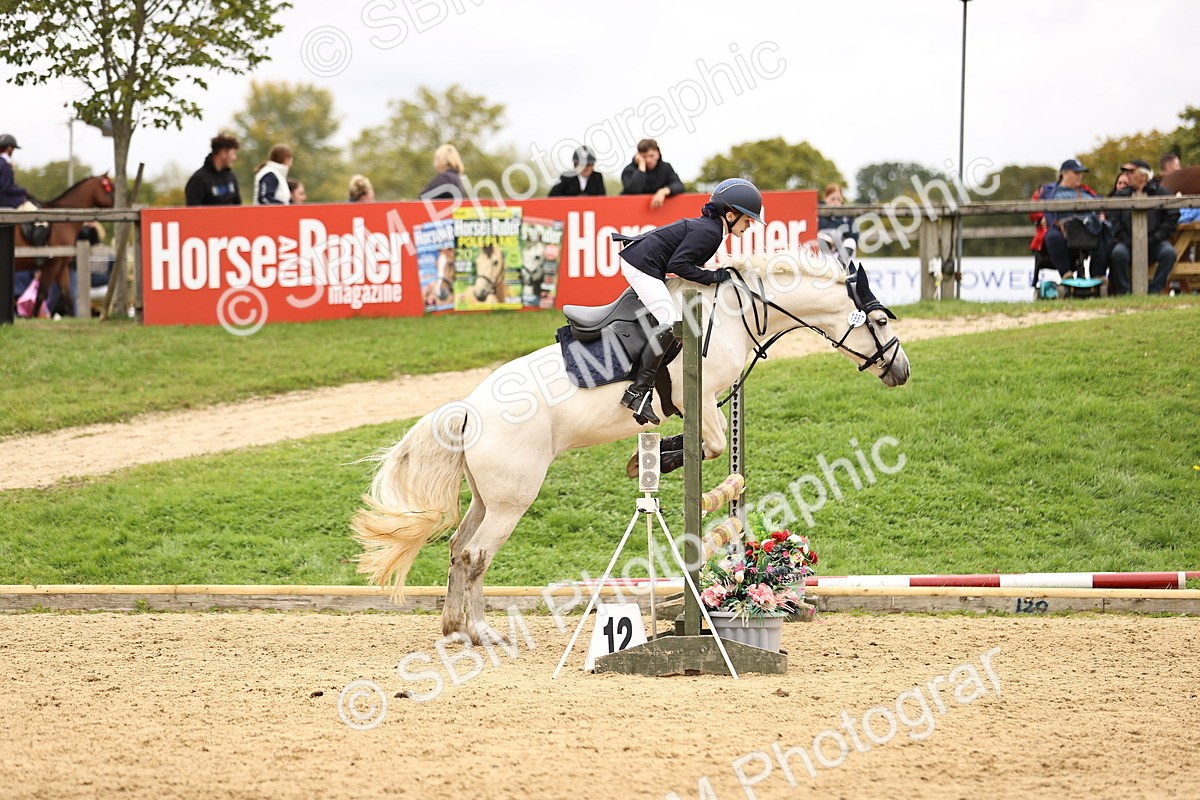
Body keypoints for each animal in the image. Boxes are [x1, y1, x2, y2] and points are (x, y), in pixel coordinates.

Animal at [11, 175, 115, 317]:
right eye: (109, 187)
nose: (117, 204)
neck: (63, 221)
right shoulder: (51, 267)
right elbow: (41, 295)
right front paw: (33, 317)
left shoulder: (61, 268)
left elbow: (68, 297)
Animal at [351, 250, 910, 644]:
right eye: (882, 322)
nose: (901, 372)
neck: (734, 312)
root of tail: (468, 409)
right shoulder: (698, 396)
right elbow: (710, 447)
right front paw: (662, 459)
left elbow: (711, 451)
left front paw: (652, 459)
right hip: (513, 500)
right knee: (475, 555)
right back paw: (481, 631)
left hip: (489, 498)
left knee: (457, 548)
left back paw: (455, 630)